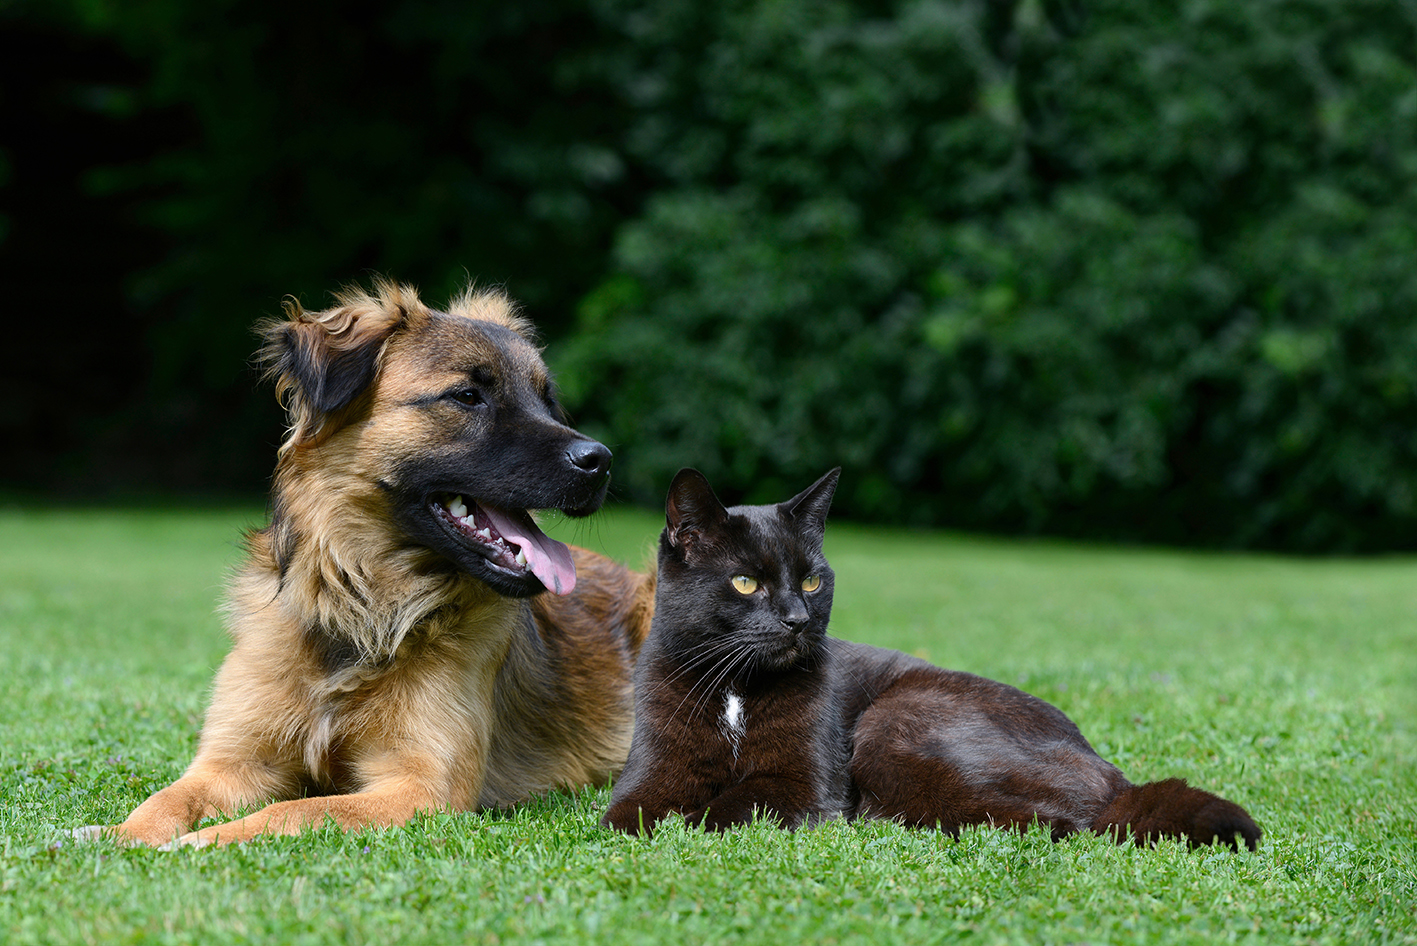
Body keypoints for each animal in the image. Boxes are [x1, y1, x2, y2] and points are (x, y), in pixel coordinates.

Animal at [74, 277, 654, 844]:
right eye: (468, 396)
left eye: (546, 401)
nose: (600, 461)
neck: (363, 605)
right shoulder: (233, 761)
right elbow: (167, 798)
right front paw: (121, 834)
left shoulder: (420, 788)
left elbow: (292, 813)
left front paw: (204, 841)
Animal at [600, 470, 1263, 855]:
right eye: (744, 582)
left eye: (812, 581)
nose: (796, 618)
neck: (736, 686)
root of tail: (1109, 770)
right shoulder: (649, 773)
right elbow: (625, 815)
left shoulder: (804, 785)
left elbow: (725, 807)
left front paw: (690, 819)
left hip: (896, 723)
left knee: (1057, 822)